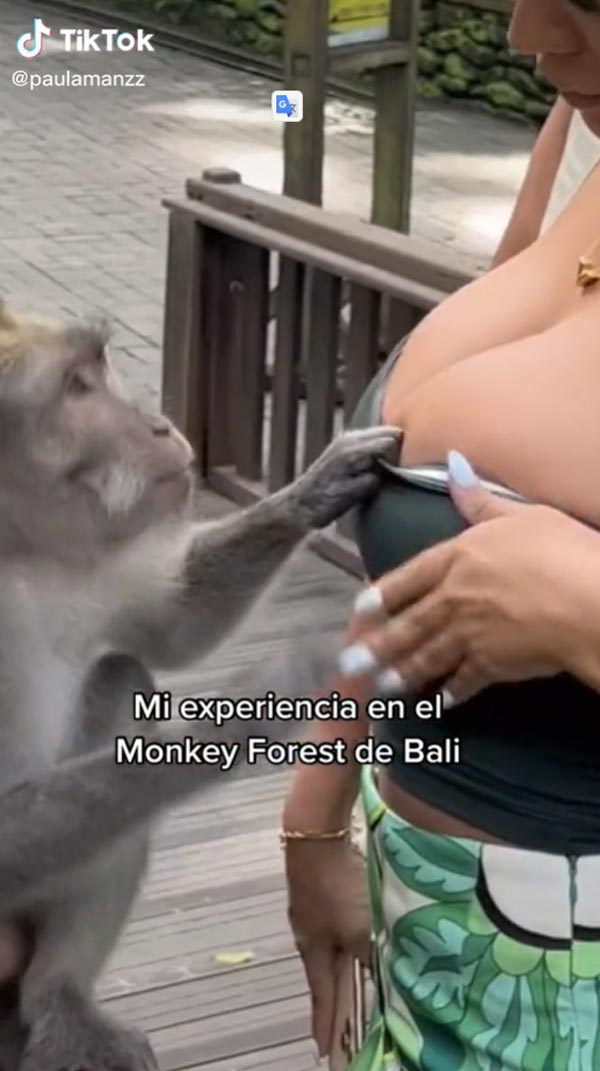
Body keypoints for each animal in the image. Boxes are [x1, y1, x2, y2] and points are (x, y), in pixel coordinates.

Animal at [0, 303, 399, 1071]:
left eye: (94, 372)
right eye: (75, 388)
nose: (158, 425)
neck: (15, 552)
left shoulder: (83, 550)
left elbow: (170, 629)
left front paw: (319, 486)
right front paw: (266, 702)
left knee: (118, 675)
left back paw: (55, 997)